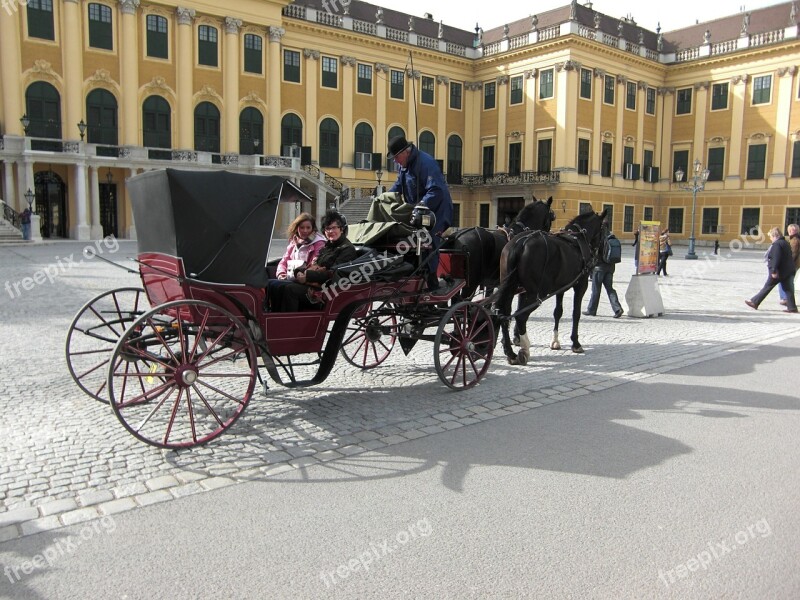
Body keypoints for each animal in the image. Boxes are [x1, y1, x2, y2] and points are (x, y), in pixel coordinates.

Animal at [494, 209, 608, 364]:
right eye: (604, 228)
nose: (603, 253)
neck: (577, 239)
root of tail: (520, 244)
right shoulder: (581, 285)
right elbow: (576, 313)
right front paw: (575, 343)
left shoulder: (561, 288)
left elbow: (557, 312)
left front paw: (555, 341)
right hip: (535, 294)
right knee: (521, 316)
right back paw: (524, 349)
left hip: (510, 290)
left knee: (503, 315)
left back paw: (510, 352)